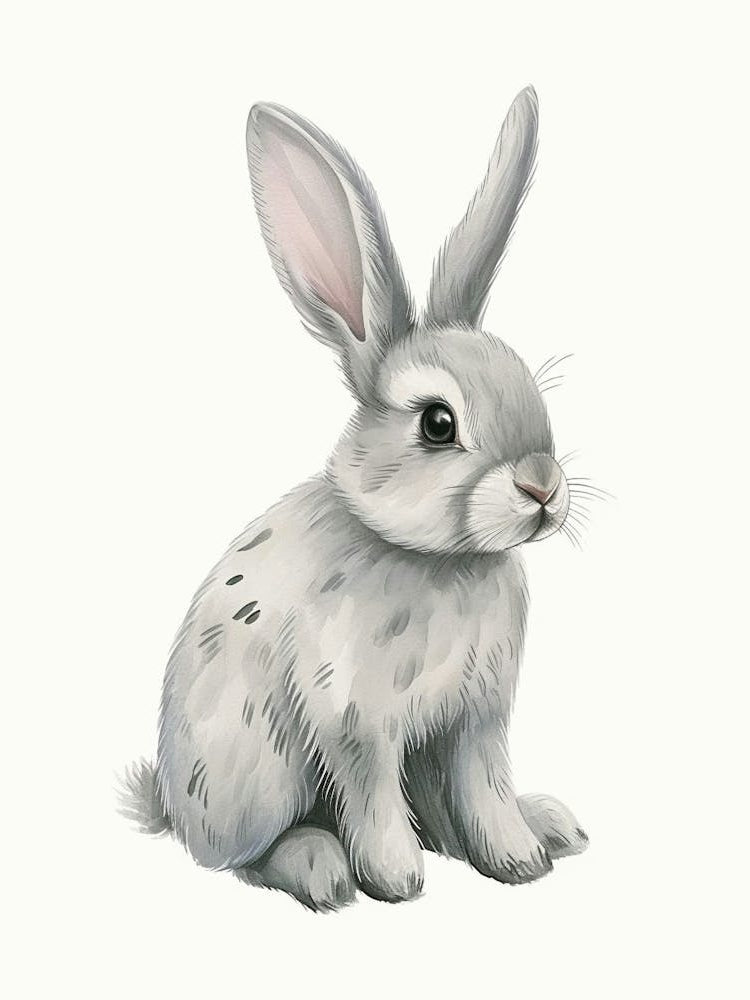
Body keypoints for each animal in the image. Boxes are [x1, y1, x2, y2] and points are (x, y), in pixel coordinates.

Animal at [120, 85, 590, 911]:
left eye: (530, 388)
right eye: (438, 423)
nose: (542, 486)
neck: (439, 560)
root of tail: (172, 810)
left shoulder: (476, 720)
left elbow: (485, 791)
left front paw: (519, 859)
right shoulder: (355, 718)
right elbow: (371, 793)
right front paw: (396, 879)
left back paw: (549, 824)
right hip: (261, 772)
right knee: (246, 856)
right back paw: (321, 867)